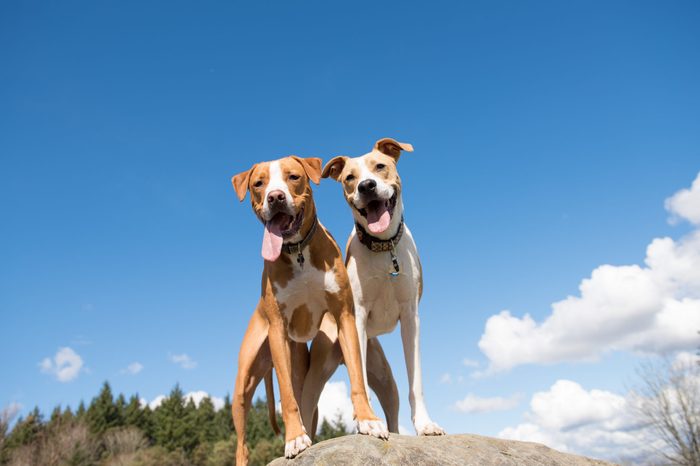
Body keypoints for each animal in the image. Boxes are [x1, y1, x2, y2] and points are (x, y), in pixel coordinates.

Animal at [230, 156, 386, 466]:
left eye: (293, 177)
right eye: (259, 183)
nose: (275, 197)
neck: (297, 252)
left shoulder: (345, 317)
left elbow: (357, 376)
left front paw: (367, 420)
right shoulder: (278, 330)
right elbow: (287, 397)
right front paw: (293, 439)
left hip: (303, 372)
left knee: (308, 407)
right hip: (243, 384)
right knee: (242, 445)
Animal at [316, 138, 442, 436]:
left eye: (380, 166)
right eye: (349, 178)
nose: (366, 186)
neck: (384, 247)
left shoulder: (410, 318)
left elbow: (415, 381)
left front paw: (425, 424)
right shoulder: (358, 317)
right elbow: (359, 378)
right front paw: (366, 422)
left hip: (385, 378)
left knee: (393, 404)